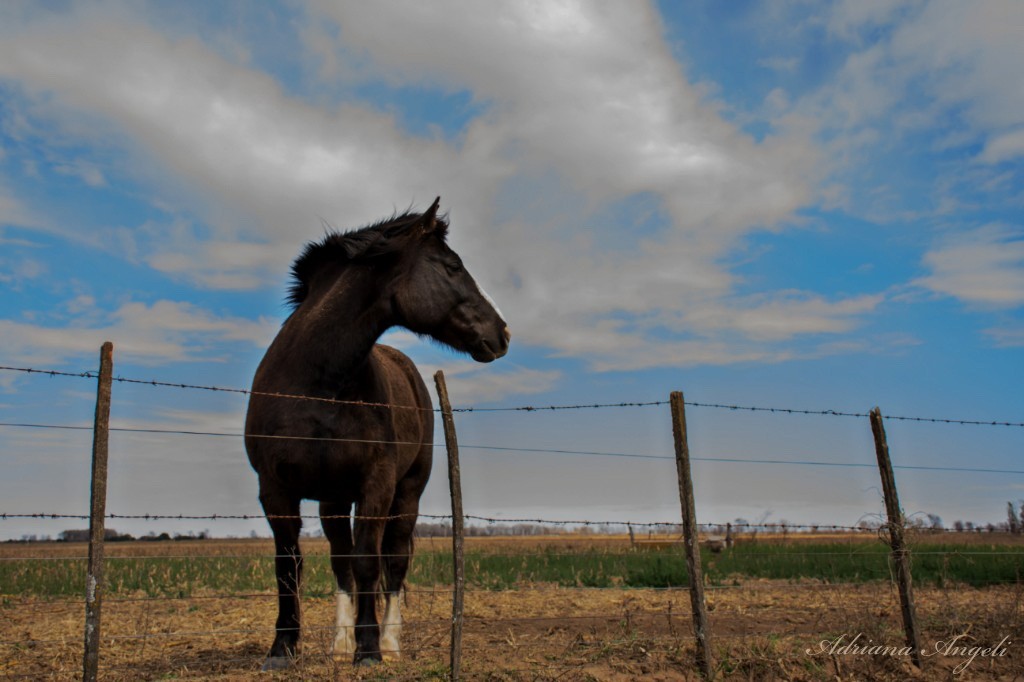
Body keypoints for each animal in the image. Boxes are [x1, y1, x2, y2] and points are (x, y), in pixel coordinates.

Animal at [243, 196, 507, 663]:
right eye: (452, 266)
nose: (503, 332)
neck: (319, 384)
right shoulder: (274, 490)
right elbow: (289, 565)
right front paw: (283, 646)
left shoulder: (377, 486)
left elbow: (370, 561)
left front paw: (369, 649)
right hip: (332, 501)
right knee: (340, 560)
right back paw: (340, 641)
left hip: (406, 495)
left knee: (394, 560)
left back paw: (388, 640)